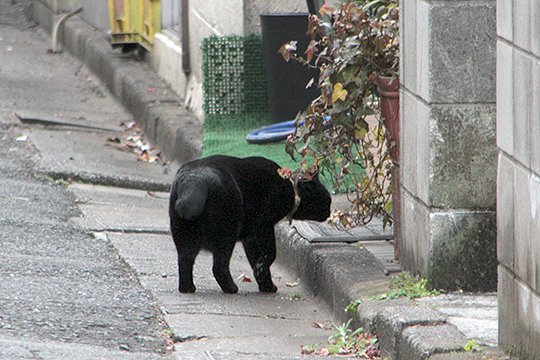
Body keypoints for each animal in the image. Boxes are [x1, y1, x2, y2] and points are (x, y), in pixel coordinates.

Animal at [169, 155, 332, 292]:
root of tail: (195, 182)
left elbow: (256, 259)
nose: (330, 212)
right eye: (328, 200)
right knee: (219, 267)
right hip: (227, 236)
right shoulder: (264, 227)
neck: (290, 186)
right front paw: (264, 277)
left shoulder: (250, 238)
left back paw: (187, 288)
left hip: (185, 241)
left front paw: (266, 285)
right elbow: (271, 254)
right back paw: (231, 288)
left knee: (184, 263)